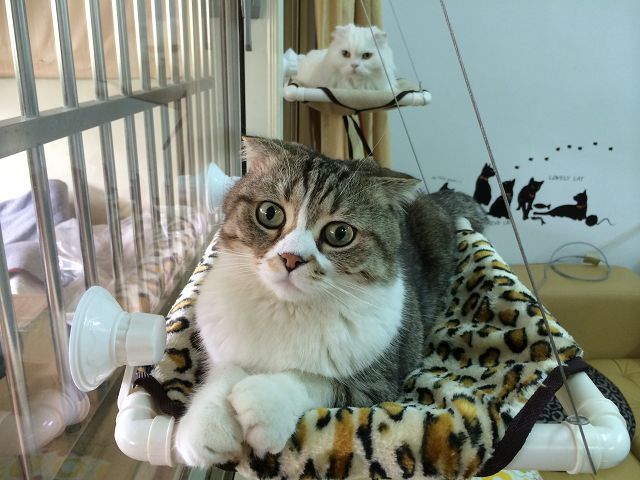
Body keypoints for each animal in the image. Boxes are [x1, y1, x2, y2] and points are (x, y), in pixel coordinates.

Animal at [174, 137, 487, 467]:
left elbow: (319, 381)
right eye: (269, 213)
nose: (291, 258)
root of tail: (432, 199)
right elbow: (224, 369)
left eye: (340, 233)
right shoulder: (220, 338)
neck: (286, 310)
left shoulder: (377, 384)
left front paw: (266, 400)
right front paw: (207, 423)